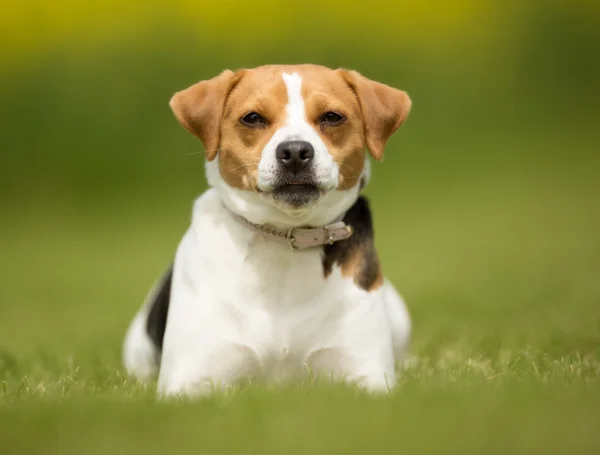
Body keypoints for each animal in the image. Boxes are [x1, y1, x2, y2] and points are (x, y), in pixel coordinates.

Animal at [122, 64, 412, 400]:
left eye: (332, 116)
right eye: (253, 118)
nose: (296, 151)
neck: (285, 237)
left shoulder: (368, 377)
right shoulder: (190, 382)